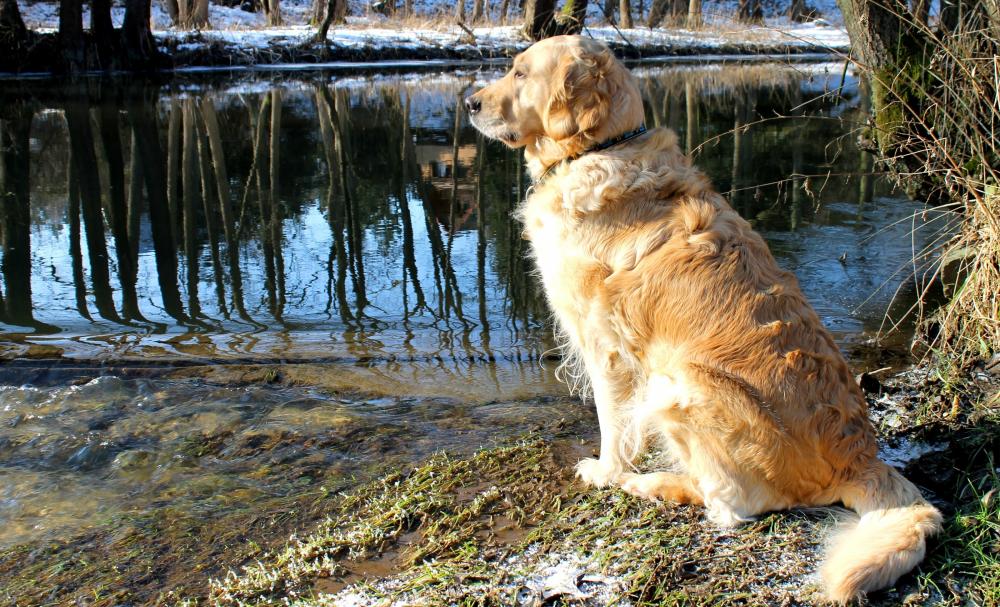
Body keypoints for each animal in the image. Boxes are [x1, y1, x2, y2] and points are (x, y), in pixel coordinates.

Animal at [464, 35, 940, 604]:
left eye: (519, 73)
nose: (469, 103)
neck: (602, 149)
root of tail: (862, 456)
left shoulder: (607, 347)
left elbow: (613, 424)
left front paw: (606, 470)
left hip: (680, 384)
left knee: (733, 507)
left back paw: (653, 484)